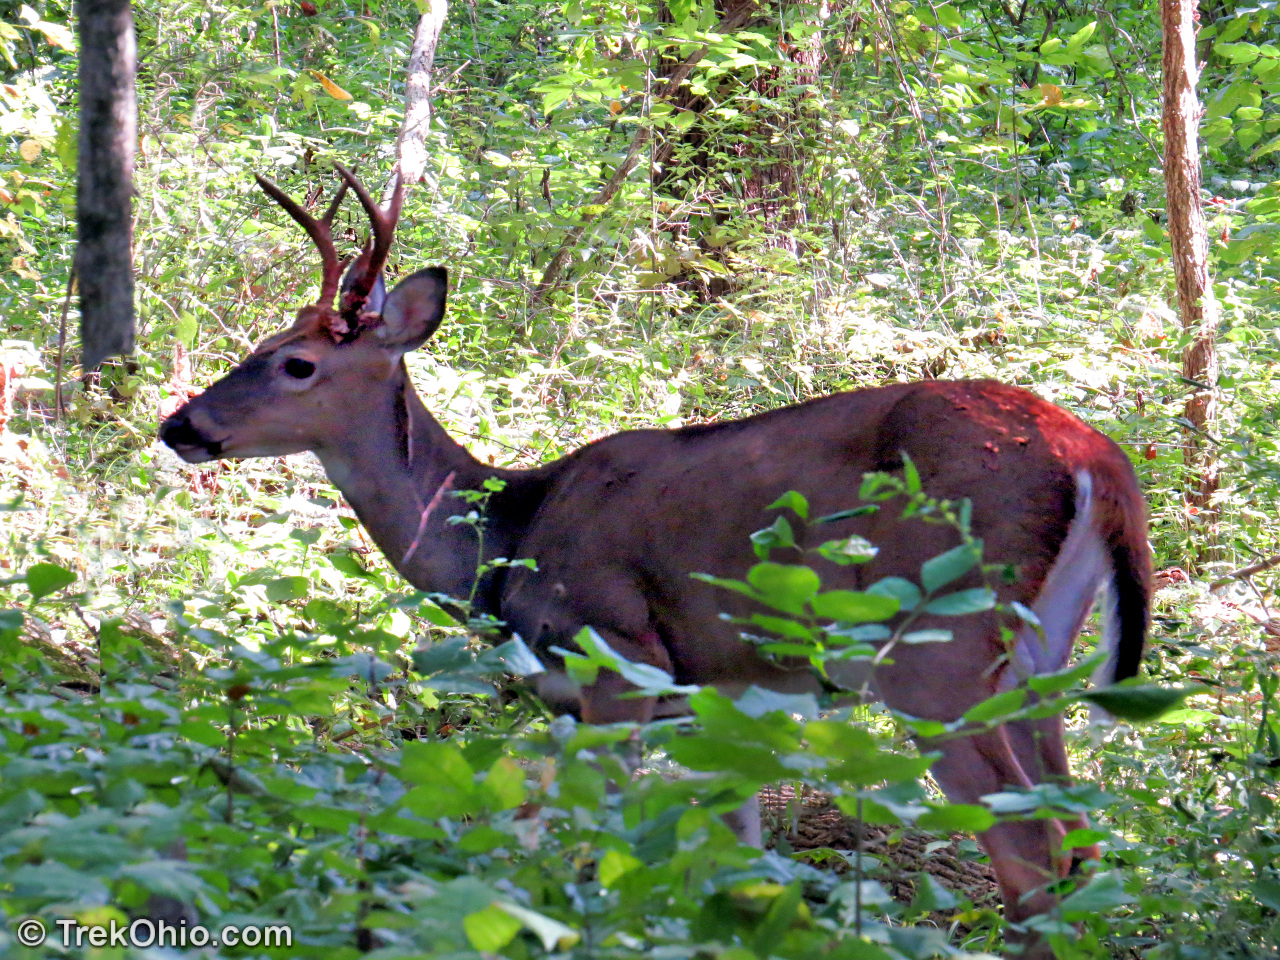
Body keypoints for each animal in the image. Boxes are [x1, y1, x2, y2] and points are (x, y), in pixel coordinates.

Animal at [160, 165, 1152, 957]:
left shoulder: (619, 660)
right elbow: (736, 869)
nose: (180, 425)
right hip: (1036, 660)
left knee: (1029, 850)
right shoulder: (719, 705)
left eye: (294, 365)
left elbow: (564, 847)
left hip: (933, 651)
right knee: (1078, 838)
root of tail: (1097, 461)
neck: (510, 539)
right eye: (258, 345)